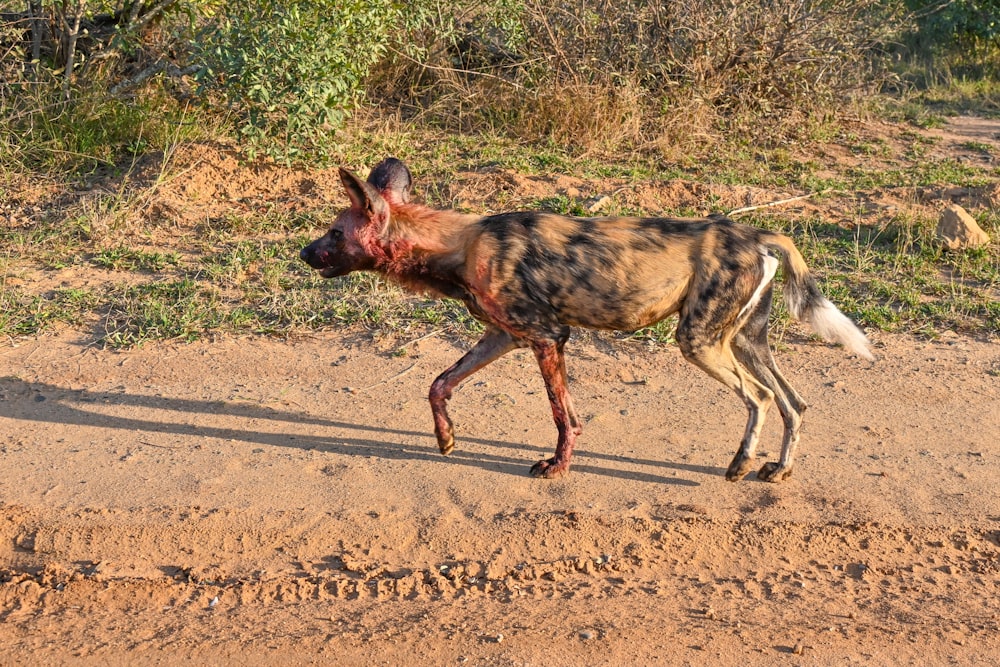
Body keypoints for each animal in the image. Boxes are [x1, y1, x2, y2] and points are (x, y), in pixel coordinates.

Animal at [298, 157, 868, 482]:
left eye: (334, 233)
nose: (303, 253)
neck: (456, 246)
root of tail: (757, 234)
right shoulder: (503, 336)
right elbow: (439, 383)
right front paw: (446, 439)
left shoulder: (548, 337)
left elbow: (563, 418)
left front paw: (557, 468)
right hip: (745, 341)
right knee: (794, 401)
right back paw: (777, 470)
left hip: (699, 340)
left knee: (762, 397)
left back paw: (740, 464)